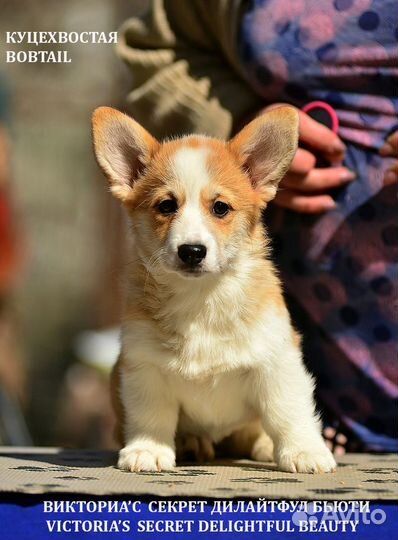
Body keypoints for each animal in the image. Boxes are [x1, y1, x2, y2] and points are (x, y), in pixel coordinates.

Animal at [92, 105, 336, 472]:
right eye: (166, 206)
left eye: (220, 207)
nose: (192, 251)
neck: (202, 298)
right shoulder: (144, 366)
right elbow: (151, 415)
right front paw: (148, 449)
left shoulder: (277, 361)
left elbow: (287, 410)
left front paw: (304, 451)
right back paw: (191, 443)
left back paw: (262, 445)